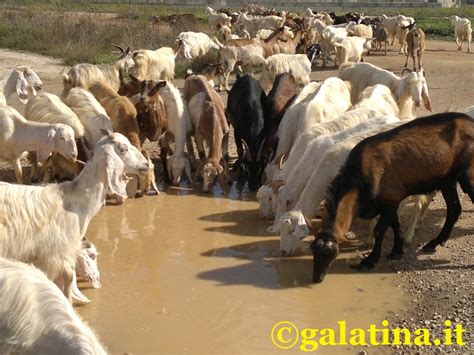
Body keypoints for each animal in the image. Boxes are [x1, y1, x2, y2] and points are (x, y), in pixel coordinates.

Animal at [0, 131, 148, 304]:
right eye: (123, 149)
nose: (146, 165)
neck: (75, 200)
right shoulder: (51, 253)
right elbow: (66, 276)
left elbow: (67, 276)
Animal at [312, 112, 474, 286]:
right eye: (313, 251)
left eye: (334, 254)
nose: (317, 278)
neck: (361, 176)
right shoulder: (390, 201)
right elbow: (395, 224)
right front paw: (397, 251)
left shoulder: (390, 200)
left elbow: (379, 230)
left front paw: (370, 261)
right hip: (447, 180)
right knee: (454, 209)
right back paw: (434, 243)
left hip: (467, 174)